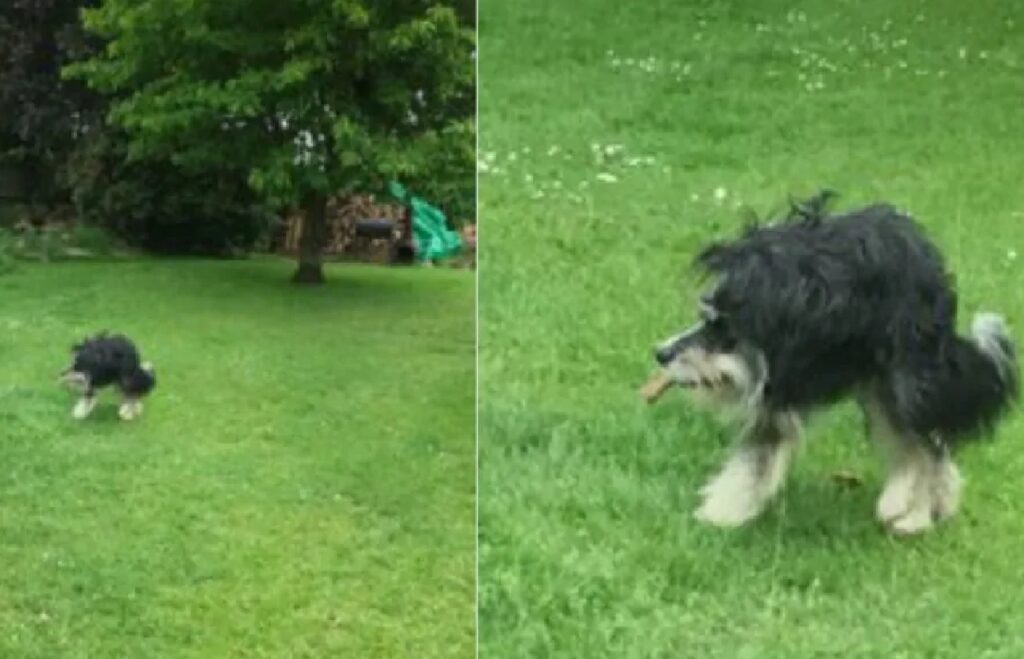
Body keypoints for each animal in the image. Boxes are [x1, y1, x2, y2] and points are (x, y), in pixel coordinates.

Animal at [655, 194, 1015, 536]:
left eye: (721, 327)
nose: (660, 354)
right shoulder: (776, 390)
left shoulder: (777, 387)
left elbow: (757, 456)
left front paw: (719, 514)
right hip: (882, 382)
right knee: (922, 441)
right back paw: (929, 502)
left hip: (906, 378)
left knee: (924, 441)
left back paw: (912, 514)